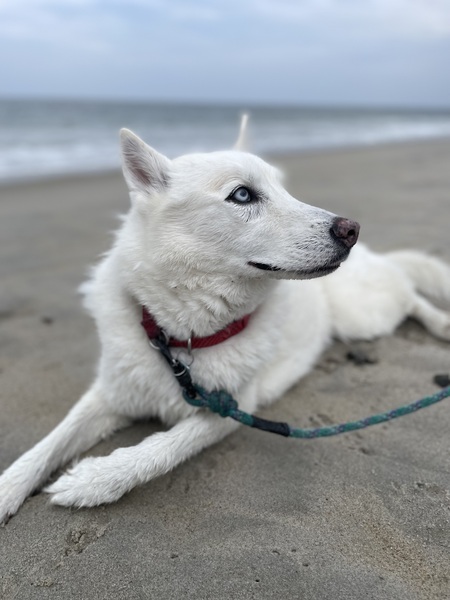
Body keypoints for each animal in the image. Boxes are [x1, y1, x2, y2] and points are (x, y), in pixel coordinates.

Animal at [0, 119, 450, 524]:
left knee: (409, 291)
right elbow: (50, 443)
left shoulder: (232, 407)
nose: (351, 228)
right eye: (242, 194)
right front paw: (9, 487)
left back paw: (440, 324)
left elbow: (163, 447)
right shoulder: (110, 393)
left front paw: (96, 479)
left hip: (364, 316)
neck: (182, 339)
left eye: (284, 188)